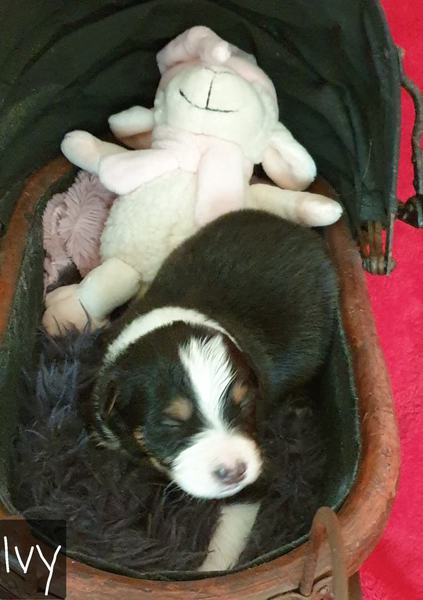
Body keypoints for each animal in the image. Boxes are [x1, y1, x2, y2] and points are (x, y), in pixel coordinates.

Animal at [86, 210, 338, 570]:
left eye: (245, 403)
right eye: (170, 423)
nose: (234, 471)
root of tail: (297, 227)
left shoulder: (254, 479)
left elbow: (227, 540)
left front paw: (208, 570)